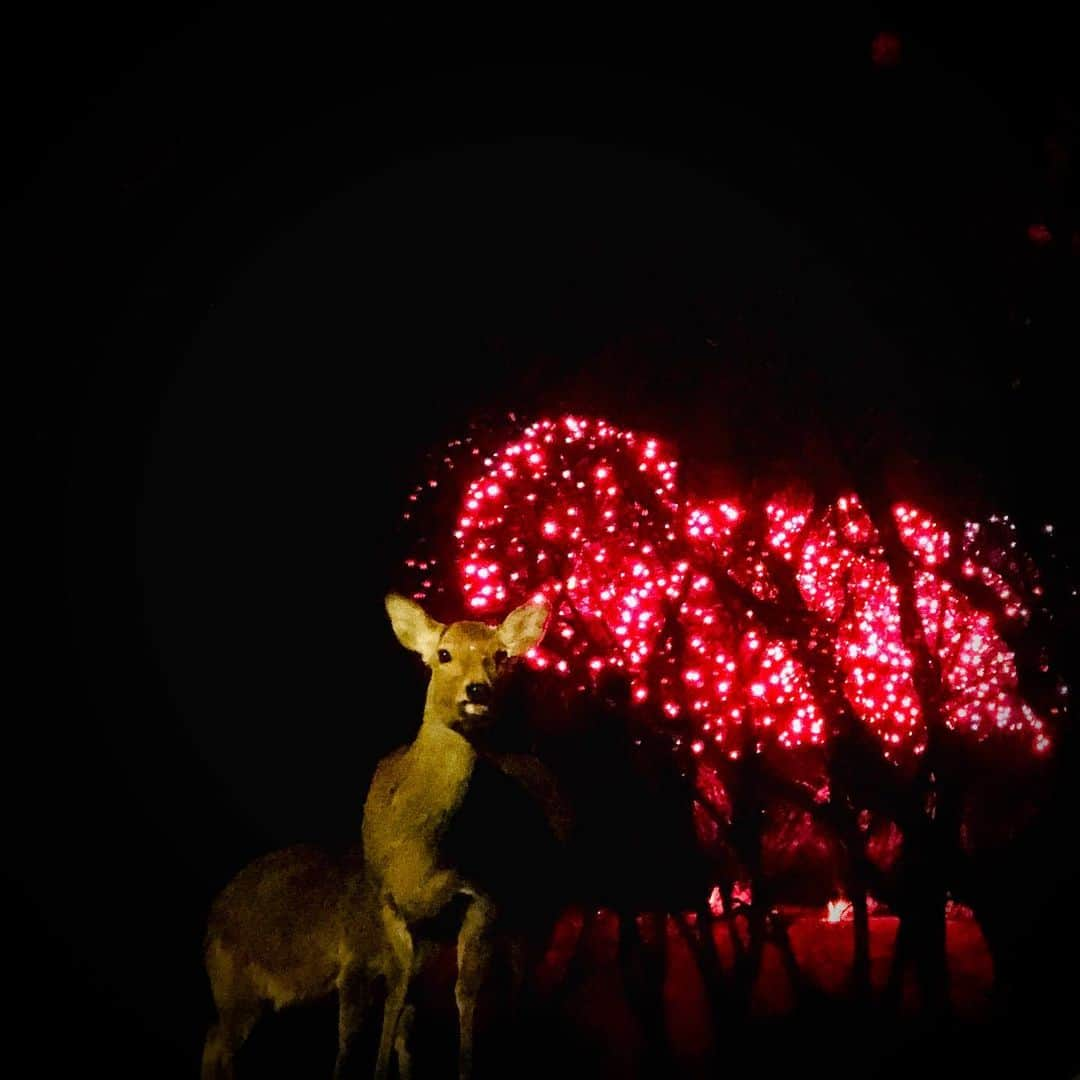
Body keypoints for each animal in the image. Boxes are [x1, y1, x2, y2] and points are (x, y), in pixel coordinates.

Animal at [203, 596, 557, 1075]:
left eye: (500, 655)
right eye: (443, 654)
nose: (477, 691)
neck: (420, 854)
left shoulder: (483, 897)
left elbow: (463, 994)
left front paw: (463, 1069)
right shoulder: (388, 911)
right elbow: (390, 1003)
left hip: (539, 913)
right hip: (239, 986)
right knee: (219, 1040)